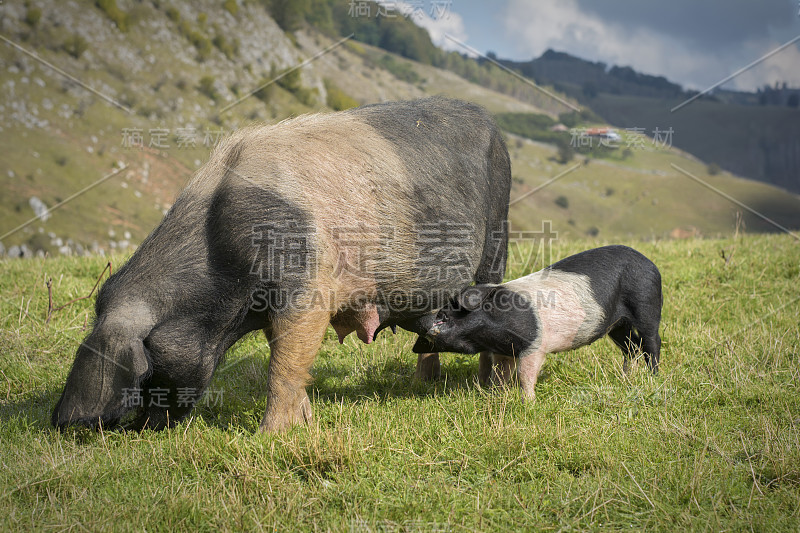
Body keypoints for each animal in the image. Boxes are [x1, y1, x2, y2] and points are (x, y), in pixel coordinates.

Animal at [51, 96, 512, 432]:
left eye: (146, 369)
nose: (143, 429)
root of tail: (488, 120)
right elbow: (286, 354)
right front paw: (304, 424)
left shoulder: (307, 285)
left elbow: (284, 365)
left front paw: (268, 436)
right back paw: (422, 383)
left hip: (498, 232)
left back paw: (493, 388)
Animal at [418, 245, 664, 394]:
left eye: (448, 312)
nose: (431, 322)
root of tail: (650, 262)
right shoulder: (504, 350)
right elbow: (501, 373)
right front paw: (496, 394)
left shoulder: (535, 345)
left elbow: (525, 374)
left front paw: (527, 401)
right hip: (617, 324)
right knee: (631, 346)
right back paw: (626, 378)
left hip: (646, 305)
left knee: (651, 342)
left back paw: (653, 378)